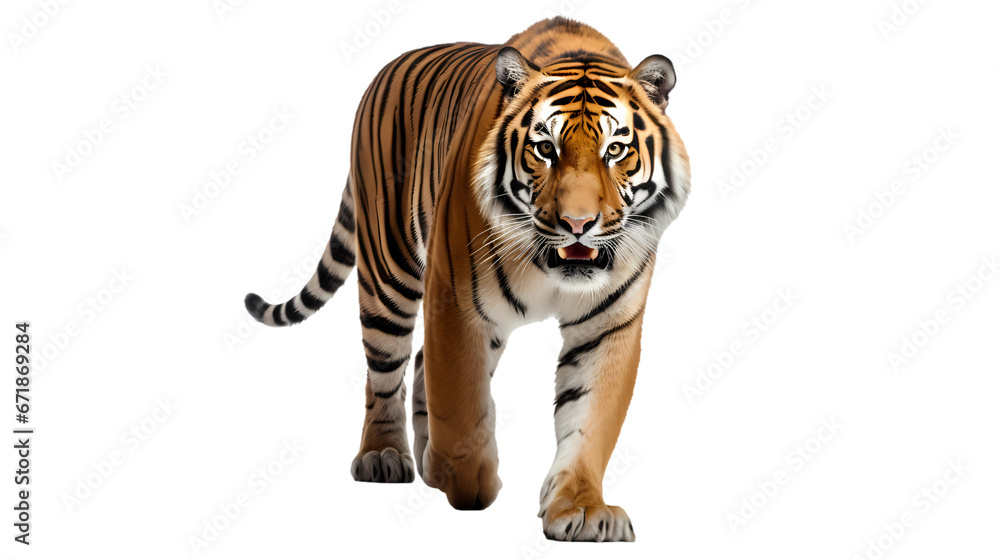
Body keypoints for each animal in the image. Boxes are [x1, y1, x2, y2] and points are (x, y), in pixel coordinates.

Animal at [244, 16, 690, 542]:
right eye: (545, 148)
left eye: (615, 150)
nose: (578, 224)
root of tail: (384, 71)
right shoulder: (455, 304)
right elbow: (459, 404)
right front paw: (466, 481)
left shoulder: (608, 325)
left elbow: (590, 418)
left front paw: (581, 509)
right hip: (389, 274)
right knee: (385, 371)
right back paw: (383, 455)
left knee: (419, 364)